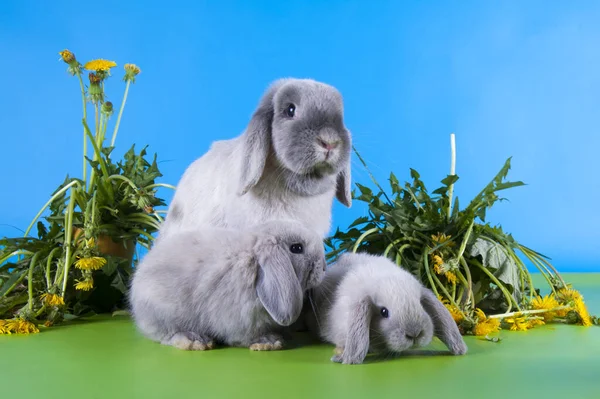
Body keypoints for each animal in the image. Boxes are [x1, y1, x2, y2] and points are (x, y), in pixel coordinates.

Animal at [128, 220, 326, 352]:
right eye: (297, 248)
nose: (324, 268)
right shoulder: (240, 319)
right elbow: (243, 337)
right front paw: (269, 342)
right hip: (164, 312)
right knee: (167, 335)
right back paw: (195, 340)